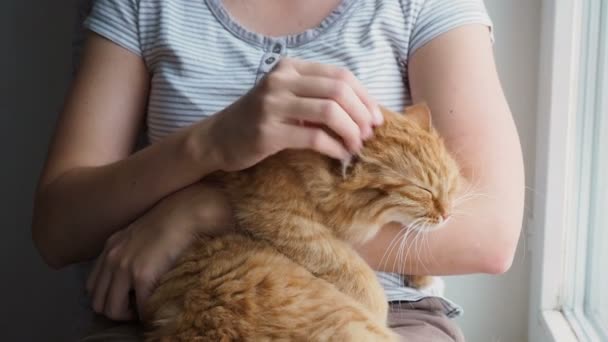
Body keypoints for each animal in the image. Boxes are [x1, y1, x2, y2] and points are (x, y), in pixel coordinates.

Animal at [144, 104, 460, 342]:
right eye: (422, 191)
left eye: (449, 183)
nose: (447, 214)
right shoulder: (283, 220)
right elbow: (354, 269)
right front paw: (378, 305)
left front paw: (426, 280)